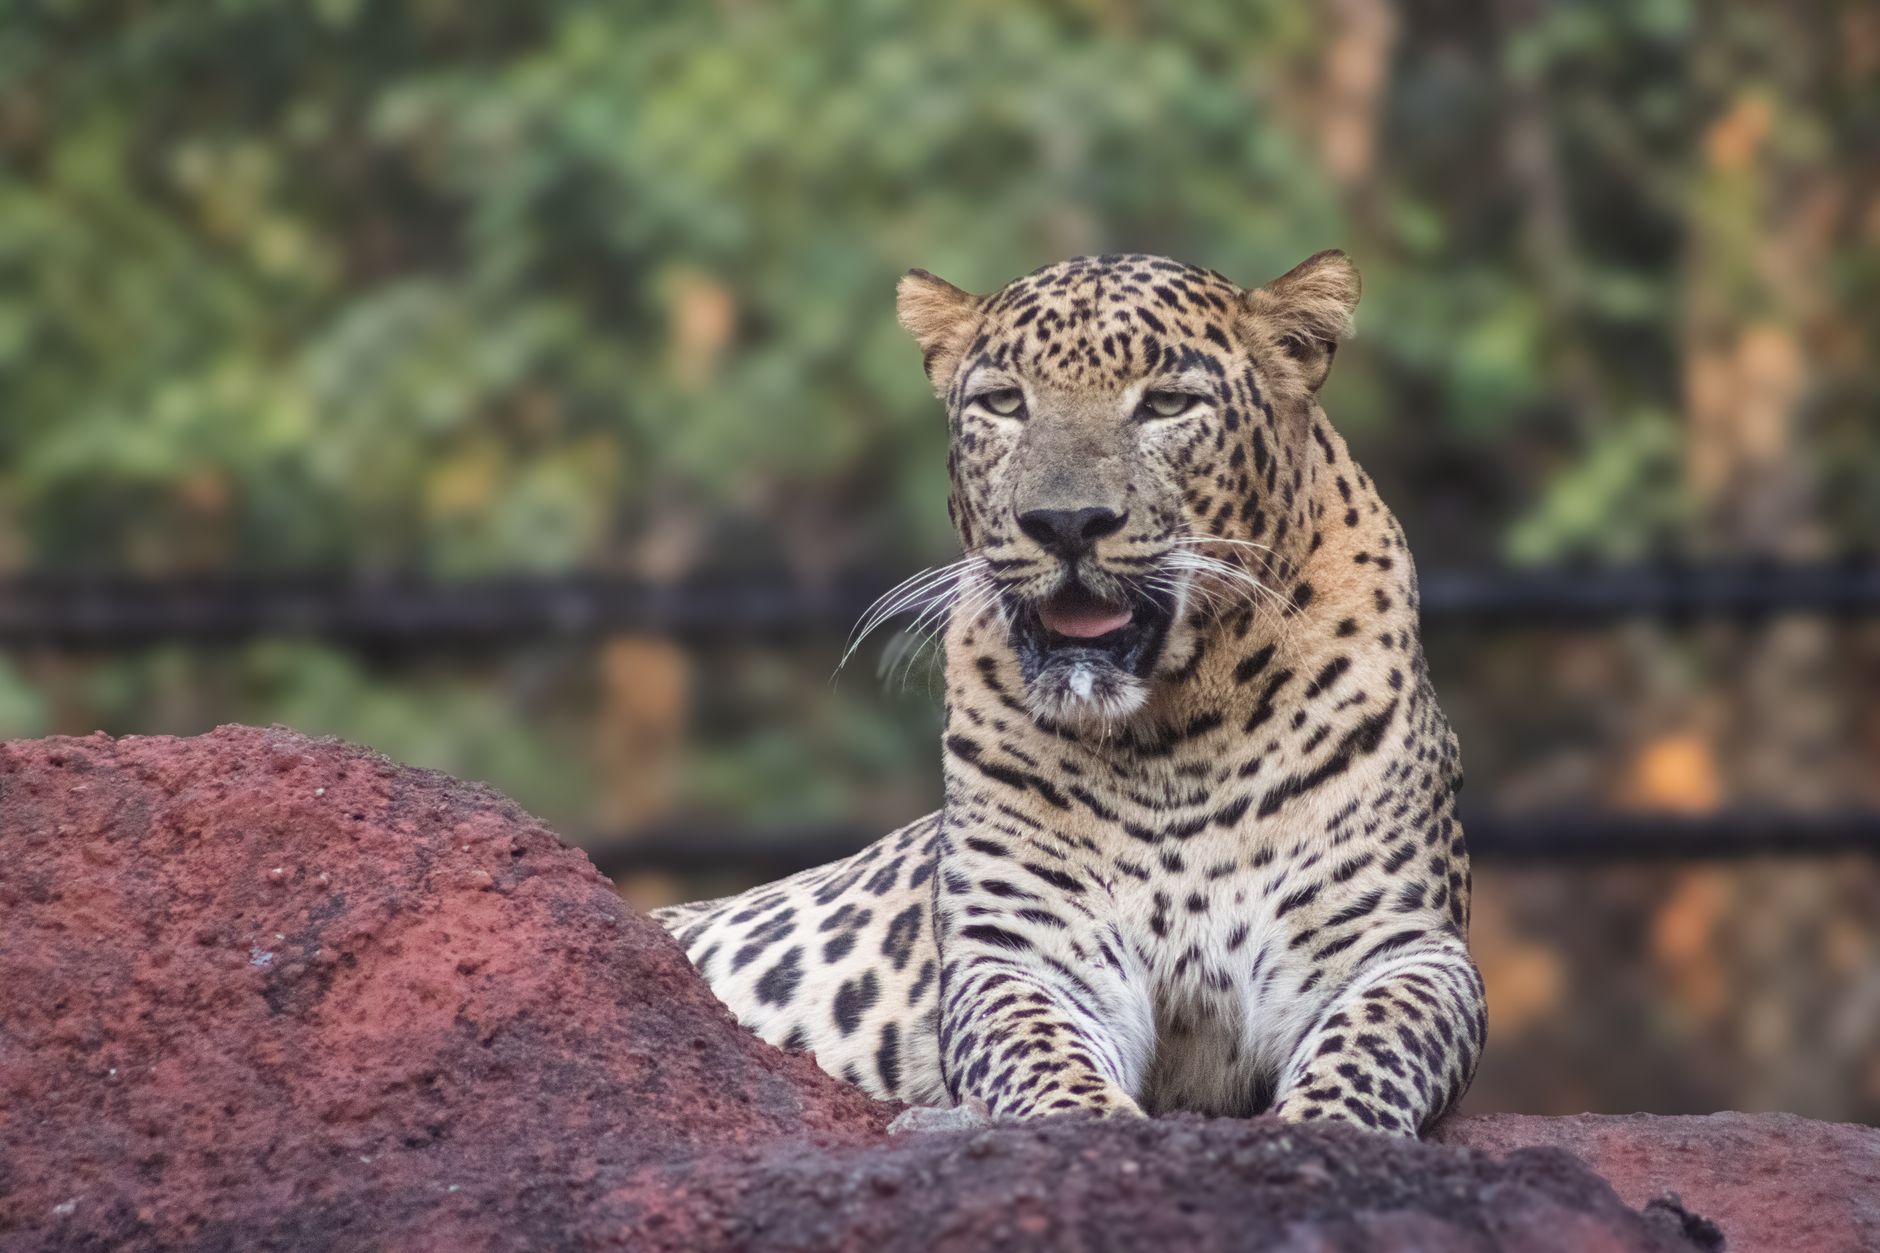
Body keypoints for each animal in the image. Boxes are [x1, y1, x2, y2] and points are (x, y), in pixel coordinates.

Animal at [654, 250, 1486, 1137]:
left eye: (1166, 404)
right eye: (1004, 403)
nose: (1065, 522)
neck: (1174, 736)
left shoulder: (1403, 946)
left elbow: (1370, 1050)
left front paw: (1316, 1129)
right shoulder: (1021, 952)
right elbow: (1043, 1056)